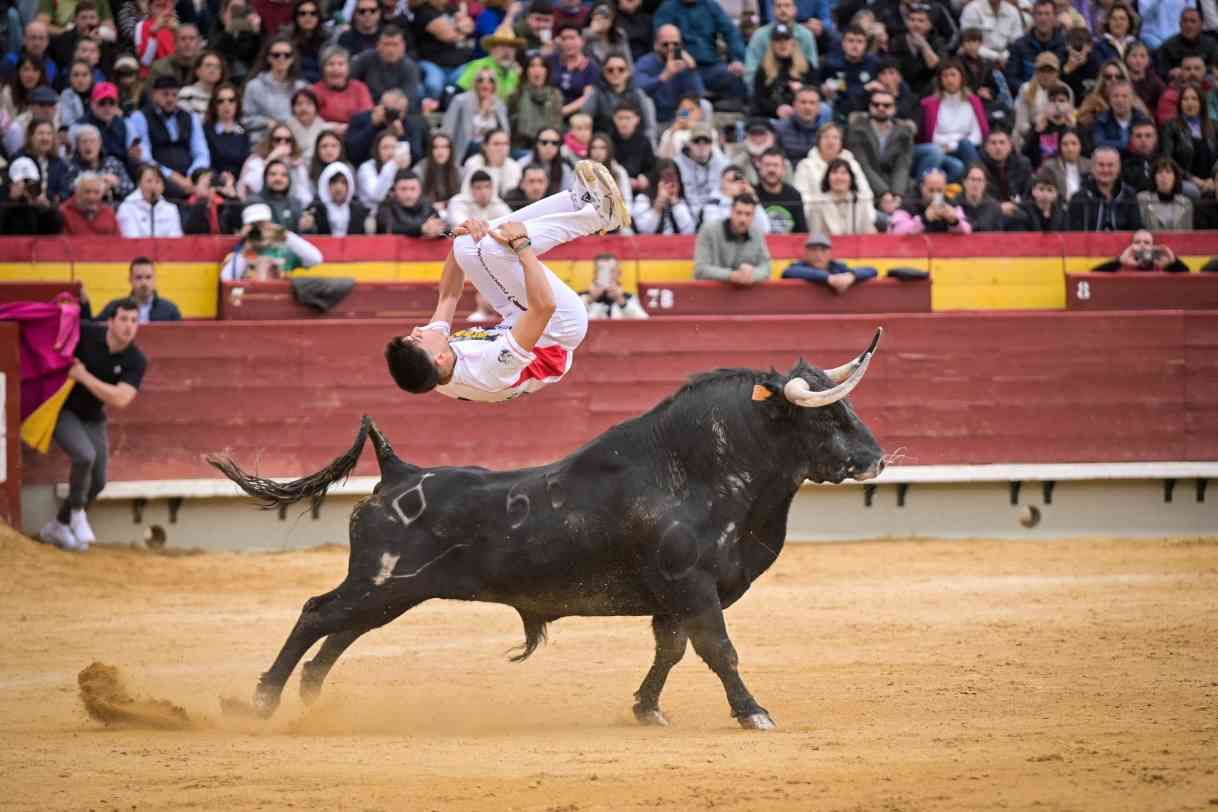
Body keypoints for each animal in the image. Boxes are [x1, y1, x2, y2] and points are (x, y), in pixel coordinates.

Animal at [211, 331, 886, 730]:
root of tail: (398, 472)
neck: (698, 470)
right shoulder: (692, 587)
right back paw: (263, 700)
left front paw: (646, 709)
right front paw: (753, 713)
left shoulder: (672, 599)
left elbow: (670, 650)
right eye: (825, 418)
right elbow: (717, 649)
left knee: (340, 630)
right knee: (317, 615)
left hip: (394, 592)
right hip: (380, 583)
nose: (876, 460)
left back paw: (309, 697)